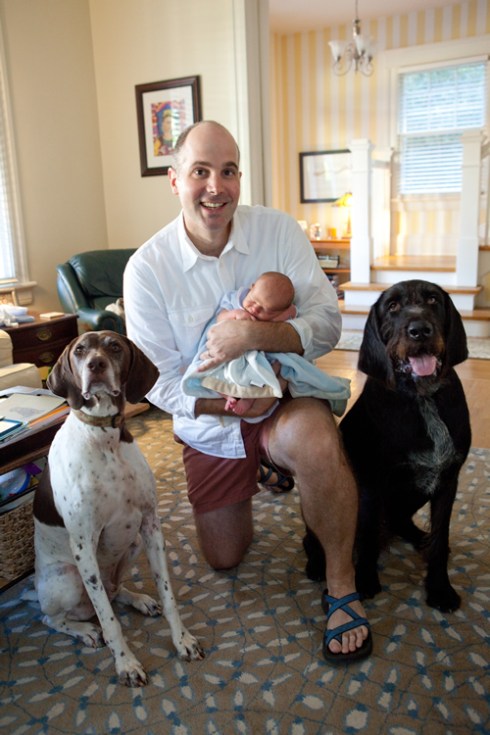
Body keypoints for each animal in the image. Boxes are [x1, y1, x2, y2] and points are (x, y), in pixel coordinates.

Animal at [33, 331, 204, 686]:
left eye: (114, 346)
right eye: (80, 350)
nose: (95, 365)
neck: (103, 437)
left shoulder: (151, 527)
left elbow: (168, 595)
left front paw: (182, 640)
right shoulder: (83, 547)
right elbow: (109, 622)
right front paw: (126, 663)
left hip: (132, 544)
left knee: (113, 591)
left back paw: (138, 599)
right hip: (68, 577)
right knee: (53, 618)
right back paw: (84, 630)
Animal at [304, 280, 471, 613]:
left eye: (433, 300)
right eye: (392, 307)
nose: (419, 330)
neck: (422, 397)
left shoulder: (448, 482)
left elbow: (441, 539)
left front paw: (439, 588)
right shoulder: (372, 482)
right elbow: (367, 537)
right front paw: (364, 581)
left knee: (399, 521)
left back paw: (419, 536)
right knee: (316, 540)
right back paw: (316, 564)